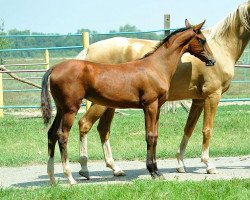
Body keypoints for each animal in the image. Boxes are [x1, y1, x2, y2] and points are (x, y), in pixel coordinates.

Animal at [41, 20, 215, 184]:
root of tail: (54, 68)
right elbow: (150, 136)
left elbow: (155, 136)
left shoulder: (157, 107)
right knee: (62, 135)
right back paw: (70, 177)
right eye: (202, 40)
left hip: (61, 109)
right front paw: (153, 172)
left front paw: (156, 171)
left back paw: (52, 178)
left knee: (51, 134)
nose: (212, 61)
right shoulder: (150, 106)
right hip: (70, 109)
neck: (156, 66)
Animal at [75, 1, 250, 178]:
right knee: (85, 124)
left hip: (109, 104)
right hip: (101, 104)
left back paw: (114, 168)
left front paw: (180, 163)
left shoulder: (198, 100)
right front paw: (208, 164)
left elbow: (188, 128)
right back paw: (84, 168)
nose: (211, 60)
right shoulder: (212, 96)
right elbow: (206, 130)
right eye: (202, 41)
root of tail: (89, 50)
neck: (222, 47)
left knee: (103, 129)